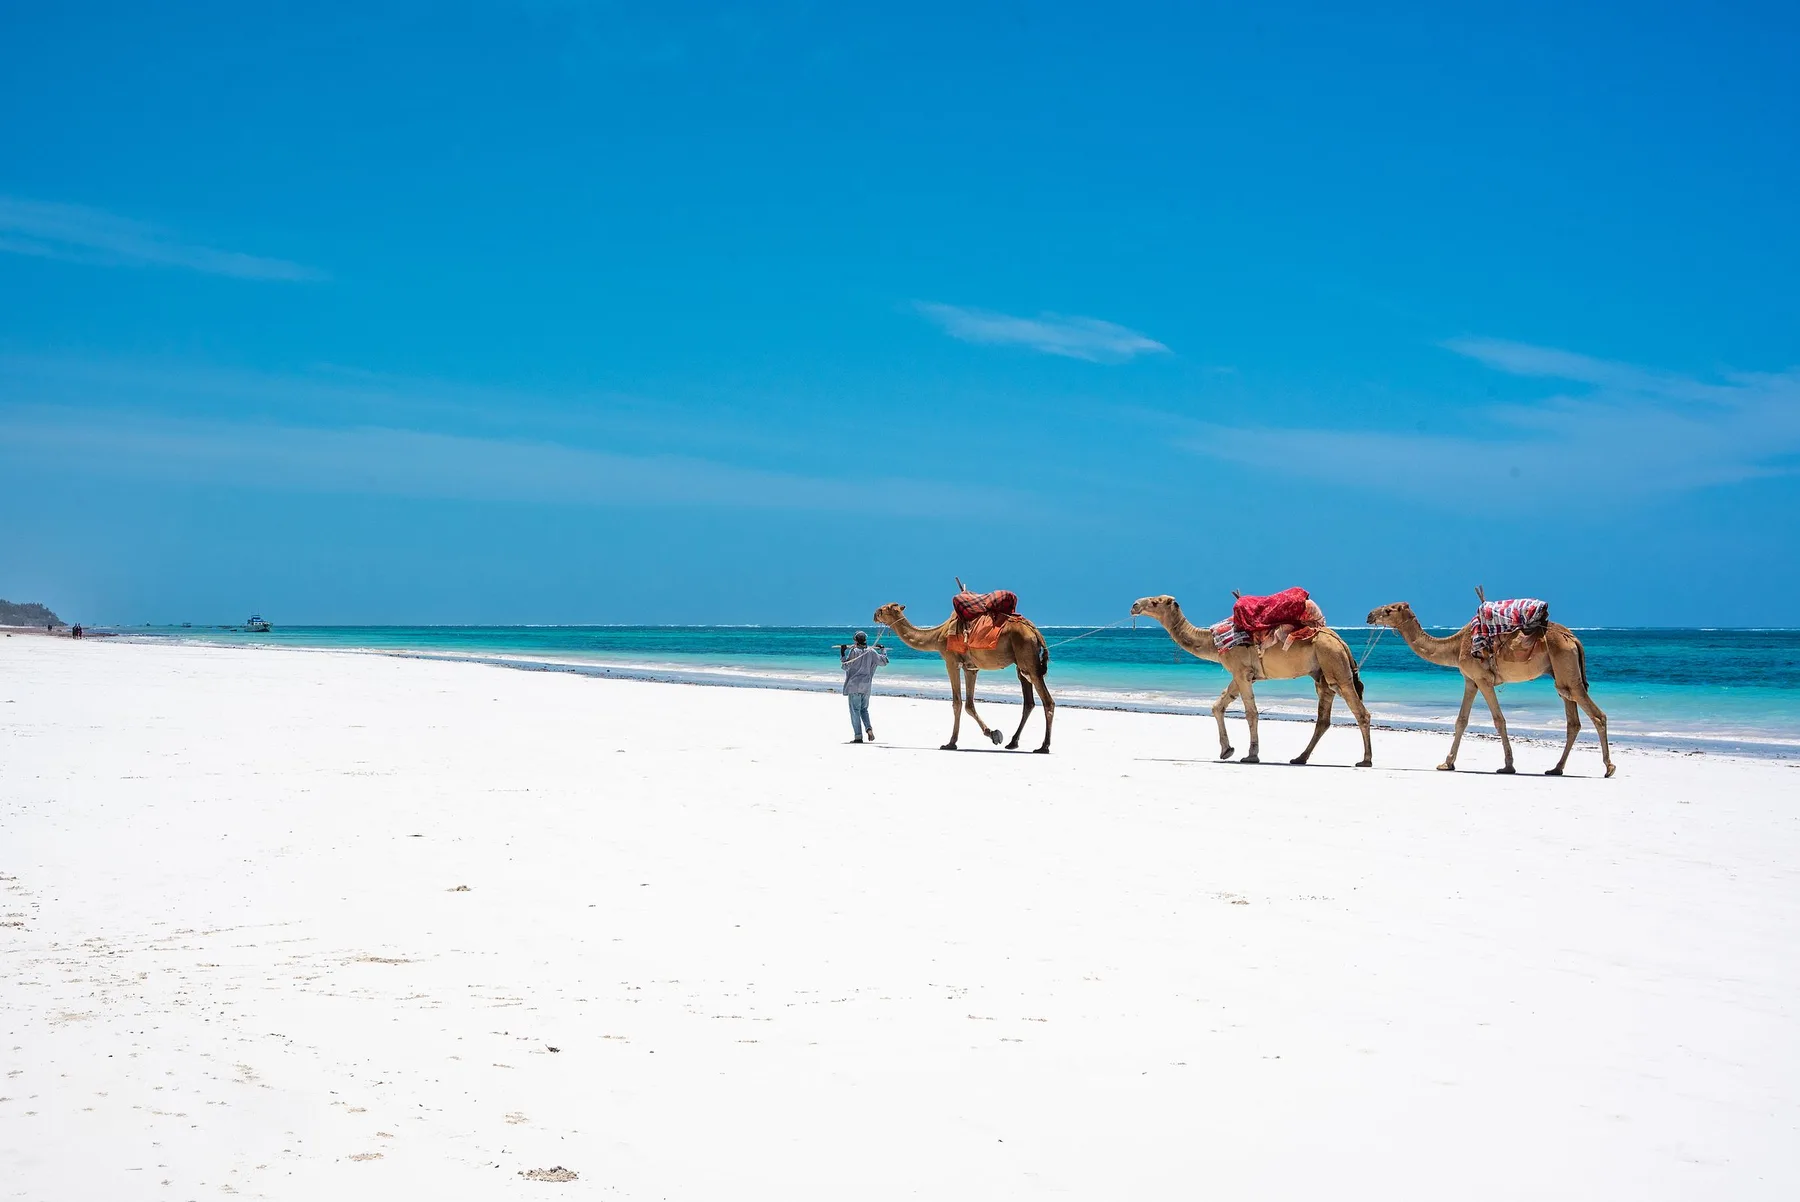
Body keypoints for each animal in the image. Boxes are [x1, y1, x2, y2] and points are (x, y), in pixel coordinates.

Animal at [871, 602, 1054, 752]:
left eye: (884, 608)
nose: (874, 614)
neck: (937, 635)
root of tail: (1034, 631)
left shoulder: (951, 661)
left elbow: (957, 703)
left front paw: (950, 743)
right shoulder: (970, 668)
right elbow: (969, 705)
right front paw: (993, 734)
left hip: (1027, 656)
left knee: (1047, 701)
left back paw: (1043, 747)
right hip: (1021, 663)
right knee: (1028, 702)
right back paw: (1013, 742)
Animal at [1129, 595, 1373, 766]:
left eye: (1155, 602)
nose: (1134, 605)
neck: (1213, 641)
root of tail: (1340, 641)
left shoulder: (1239, 670)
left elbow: (1251, 713)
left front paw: (1251, 755)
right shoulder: (1243, 674)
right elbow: (1218, 706)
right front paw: (1226, 750)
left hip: (1335, 665)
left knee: (1360, 712)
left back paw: (1365, 760)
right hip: (1322, 674)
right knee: (1323, 719)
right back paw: (1299, 758)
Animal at [1365, 601, 1614, 778]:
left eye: (1388, 610)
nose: (1369, 615)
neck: (1456, 646)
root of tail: (1572, 638)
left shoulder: (1483, 679)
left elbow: (1498, 720)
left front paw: (1508, 766)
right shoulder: (1470, 680)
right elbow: (1461, 720)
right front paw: (1447, 763)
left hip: (1566, 668)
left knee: (1597, 715)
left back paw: (1608, 767)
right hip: (1560, 674)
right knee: (1573, 721)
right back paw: (1556, 768)